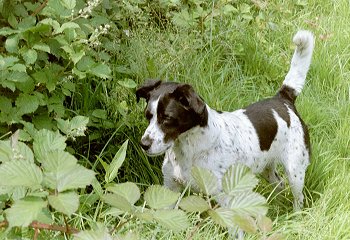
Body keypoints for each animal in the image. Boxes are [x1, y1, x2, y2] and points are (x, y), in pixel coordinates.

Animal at [136, 30, 314, 212]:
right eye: (148, 116)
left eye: (167, 118)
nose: (144, 144)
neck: (189, 149)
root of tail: (283, 99)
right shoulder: (170, 188)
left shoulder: (225, 199)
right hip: (267, 168)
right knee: (280, 184)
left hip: (295, 171)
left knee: (298, 198)